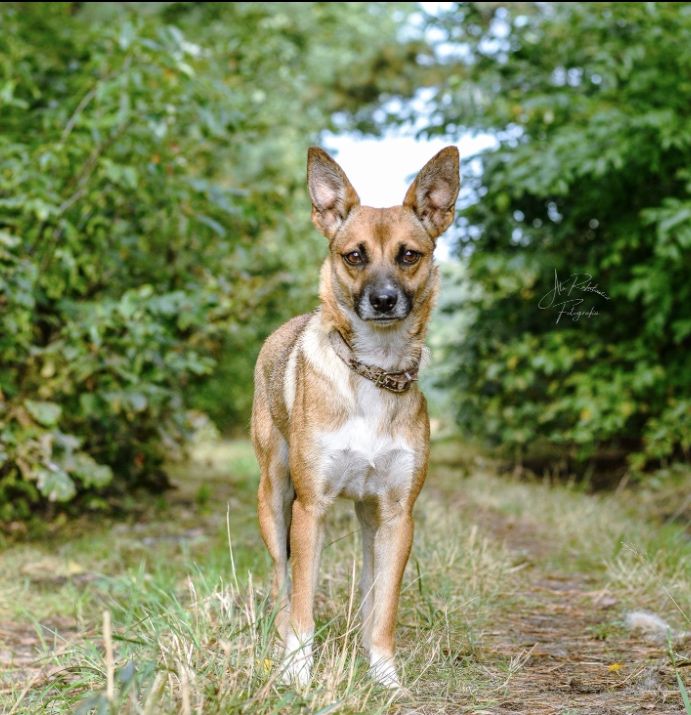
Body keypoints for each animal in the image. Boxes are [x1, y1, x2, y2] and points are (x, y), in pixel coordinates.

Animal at [253, 145, 460, 688]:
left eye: (409, 255)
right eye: (354, 256)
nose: (384, 300)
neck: (373, 372)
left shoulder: (397, 516)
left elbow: (384, 605)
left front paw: (384, 675)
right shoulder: (311, 510)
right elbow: (302, 605)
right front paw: (298, 673)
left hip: (369, 521)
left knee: (369, 586)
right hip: (274, 498)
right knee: (282, 584)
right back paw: (276, 643)